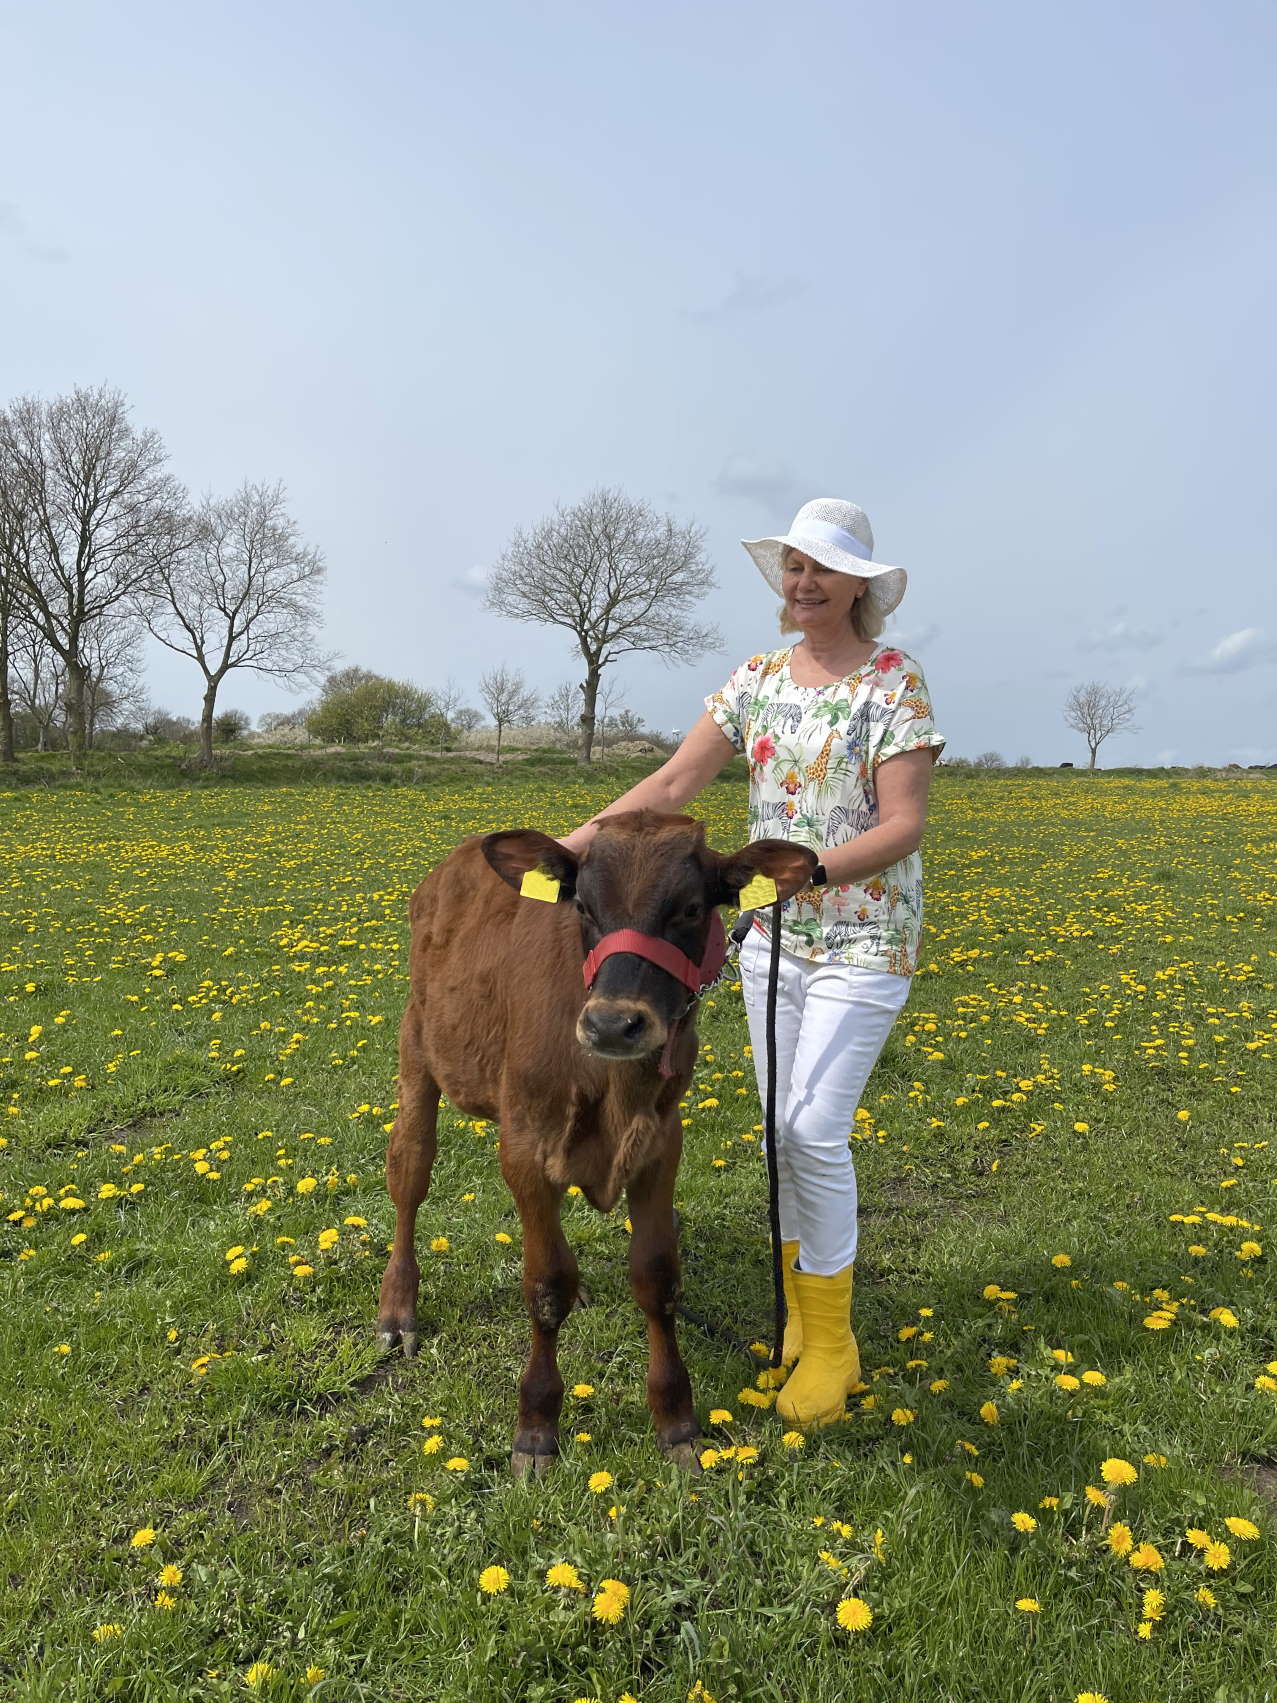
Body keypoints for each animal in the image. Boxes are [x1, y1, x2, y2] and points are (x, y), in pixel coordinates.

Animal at [374, 810, 813, 1478]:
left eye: (690, 908)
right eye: (582, 905)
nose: (612, 1024)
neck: (611, 1086)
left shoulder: (661, 1144)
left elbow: (656, 1279)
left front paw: (675, 1420)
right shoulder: (526, 1145)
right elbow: (544, 1285)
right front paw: (536, 1426)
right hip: (417, 1050)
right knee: (409, 1175)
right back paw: (397, 1308)